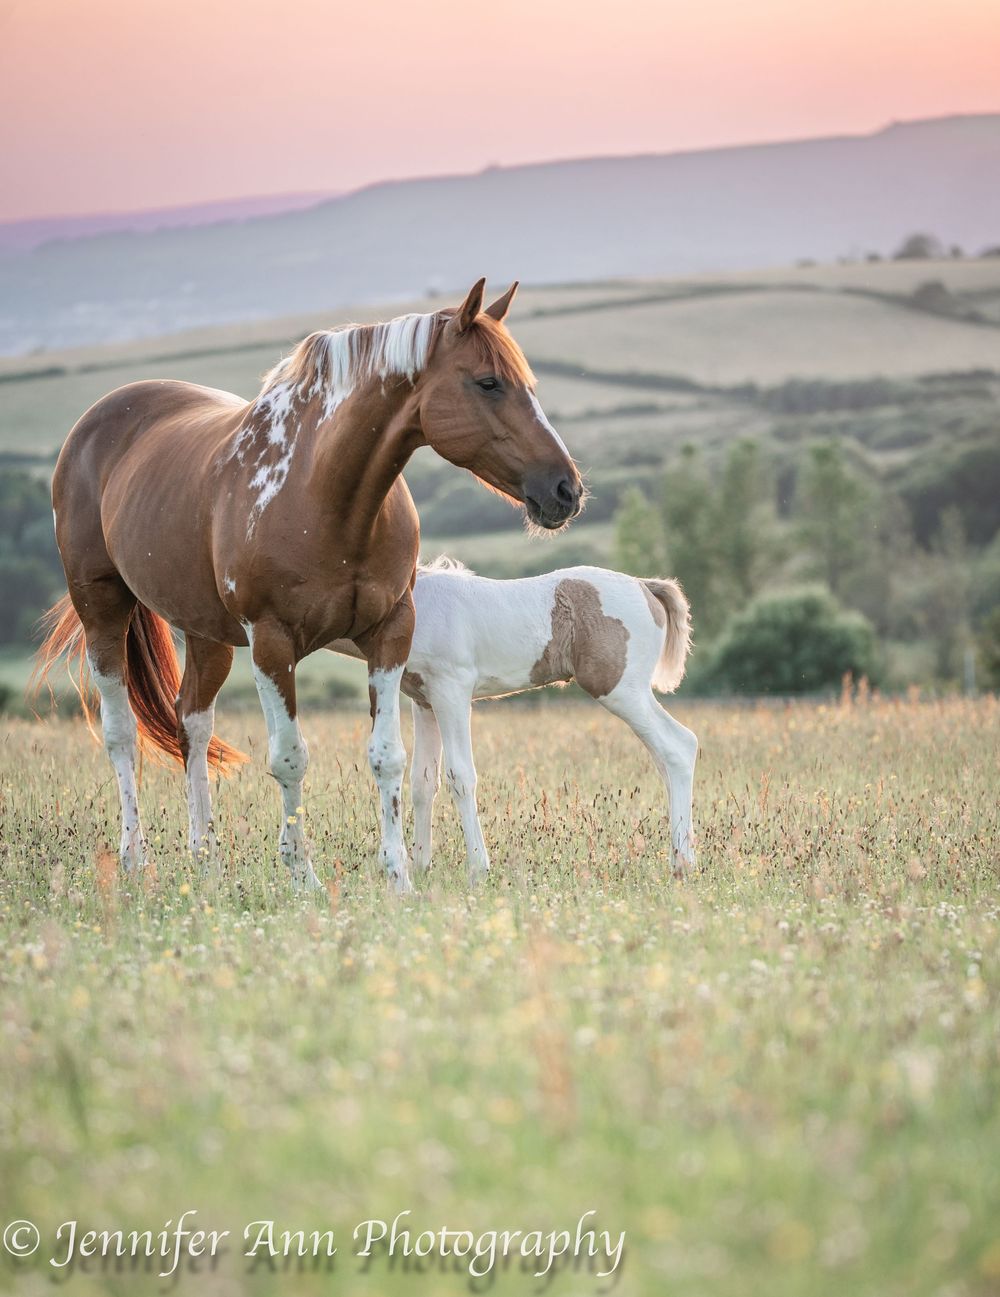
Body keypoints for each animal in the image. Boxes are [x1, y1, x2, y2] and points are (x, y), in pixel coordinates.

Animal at [33, 279, 583, 894]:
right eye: (488, 382)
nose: (565, 489)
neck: (324, 497)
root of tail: (98, 420)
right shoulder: (273, 643)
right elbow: (290, 758)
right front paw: (303, 875)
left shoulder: (390, 632)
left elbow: (388, 756)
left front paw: (398, 877)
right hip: (102, 608)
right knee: (122, 733)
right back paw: (135, 858)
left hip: (206, 633)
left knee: (191, 724)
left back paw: (207, 859)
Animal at [329, 559, 697, 882]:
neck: (419, 606)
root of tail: (643, 585)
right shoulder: (424, 703)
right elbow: (423, 781)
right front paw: (421, 868)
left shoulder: (452, 691)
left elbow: (460, 776)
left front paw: (478, 869)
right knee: (665, 759)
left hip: (622, 690)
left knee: (679, 746)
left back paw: (682, 864)